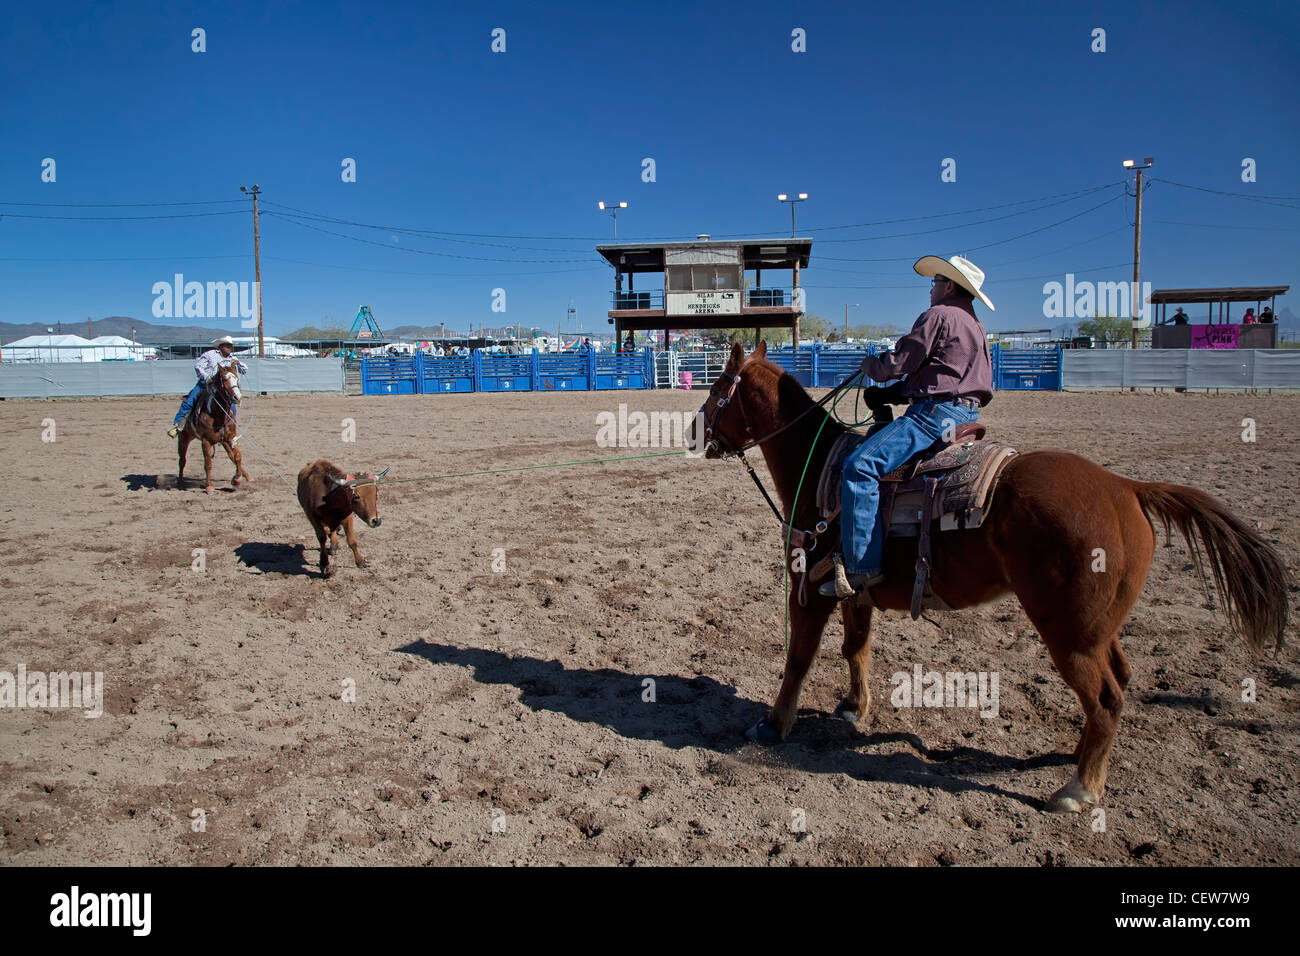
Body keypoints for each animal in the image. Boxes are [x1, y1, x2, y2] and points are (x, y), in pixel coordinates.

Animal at [176, 361, 249, 494]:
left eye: (237, 378)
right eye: (224, 379)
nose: (237, 397)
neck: (217, 414)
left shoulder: (231, 438)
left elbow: (237, 457)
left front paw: (237, 479)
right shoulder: (206, 441)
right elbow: (208, 464)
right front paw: (209, 487)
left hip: (223, 441)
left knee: (231, 456)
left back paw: (245, 476)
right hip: (183, 438)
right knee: (182, 460)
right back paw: (179, 482)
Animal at [696, 340, 1284, 811]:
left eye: (720, 387)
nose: (696, 427)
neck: (821, 467)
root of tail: (1127, 487)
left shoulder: (809, 590)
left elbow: (798, 658)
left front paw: (773, 724)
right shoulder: (852, 591)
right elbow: (855, 650)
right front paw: (853, 708)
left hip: (1068, 633)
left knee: (1107, 698)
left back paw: (1079, 790)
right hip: (1097, 629)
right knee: (1118, 680)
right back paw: (1078, 756)